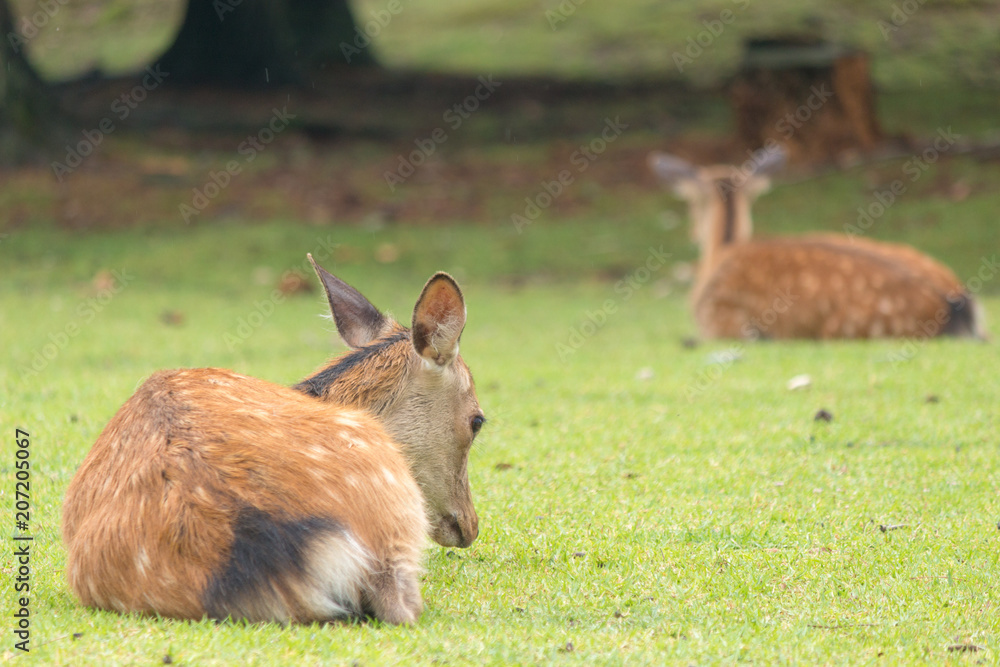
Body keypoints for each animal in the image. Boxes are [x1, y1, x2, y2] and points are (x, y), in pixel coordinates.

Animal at [648, 149, 984, 340]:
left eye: (691, 205)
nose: (692, 232)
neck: (721, 252)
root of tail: (954, 304)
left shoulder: (721, 325)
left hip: (847, 328)